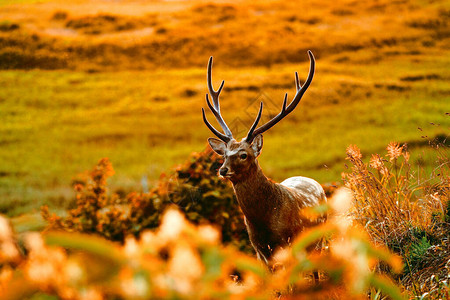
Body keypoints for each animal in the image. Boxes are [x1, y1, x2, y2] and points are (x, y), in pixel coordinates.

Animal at [201, 50, 326, 278]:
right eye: (224, 154)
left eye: (243, 154)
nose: (222, 170)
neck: (264, 224)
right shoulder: (258, 251)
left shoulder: (288, 243)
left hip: (318, 238)